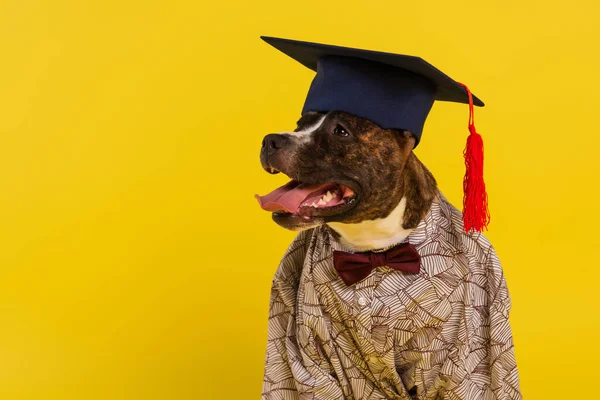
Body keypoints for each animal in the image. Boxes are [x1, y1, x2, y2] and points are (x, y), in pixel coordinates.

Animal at [256, 110, 520, 400]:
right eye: (299, 125)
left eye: (341, 131)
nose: (270, 141)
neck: (372, 250)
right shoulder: (310, 351)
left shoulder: (458, 351)